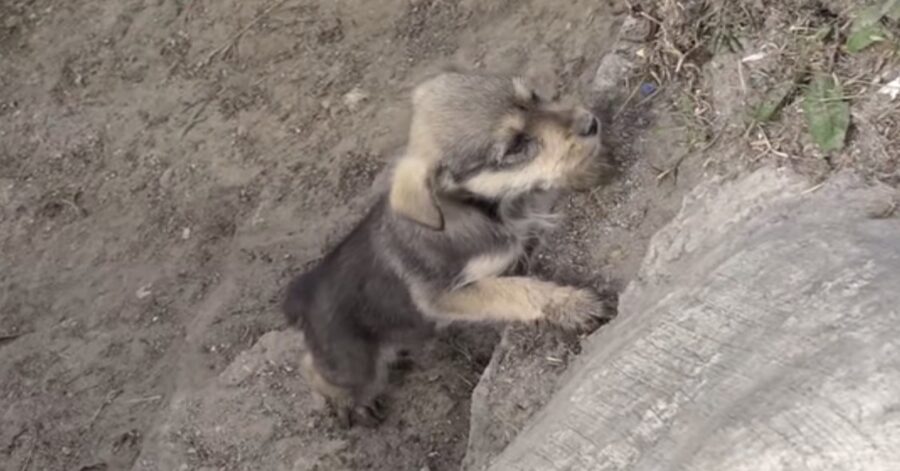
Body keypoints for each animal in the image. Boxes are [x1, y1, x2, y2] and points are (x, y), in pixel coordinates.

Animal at [284, 70, 608, 428]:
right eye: (515, 146)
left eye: (535, 97)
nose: (591, 122)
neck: (482, 210)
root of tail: (304, 294)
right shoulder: (444, 295)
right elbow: (513, 290)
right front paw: (572, 305)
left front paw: (586, 169)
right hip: (355, 366)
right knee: (313, 369)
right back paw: (349, 404)